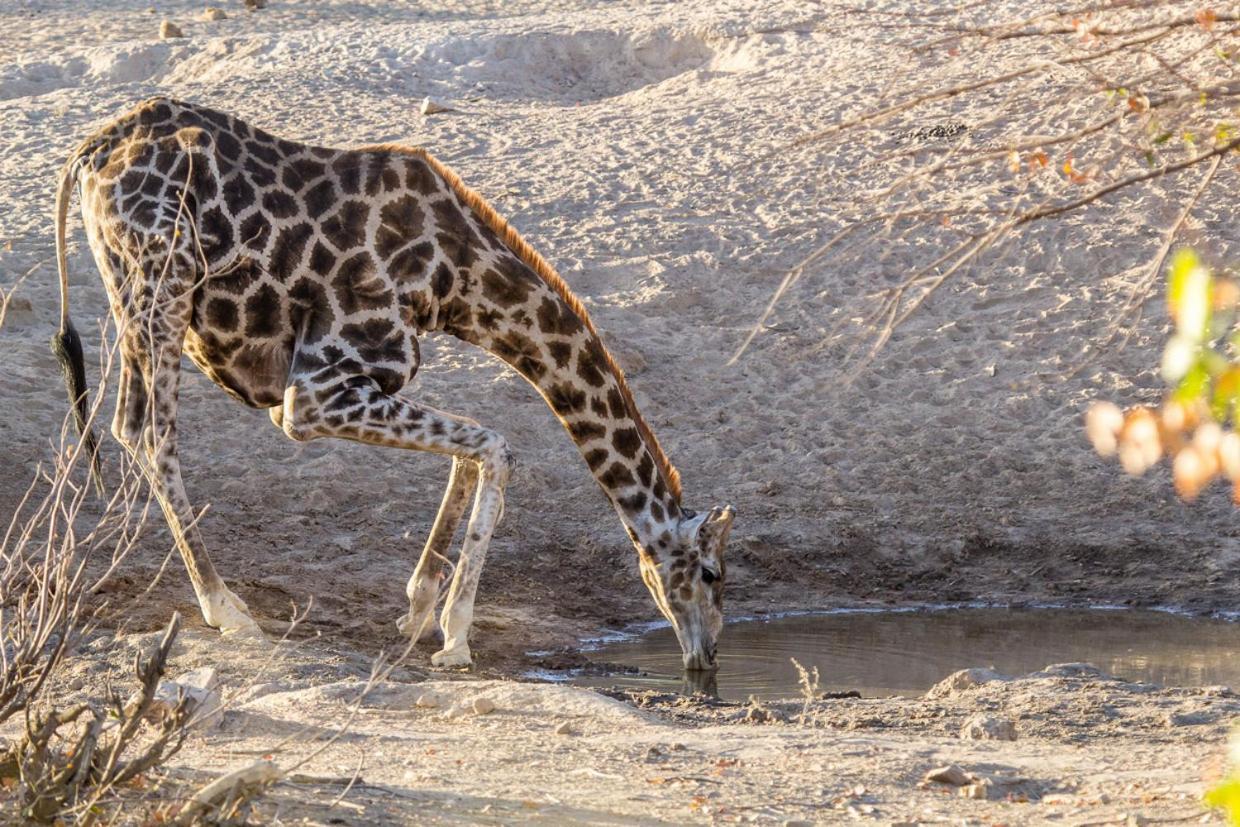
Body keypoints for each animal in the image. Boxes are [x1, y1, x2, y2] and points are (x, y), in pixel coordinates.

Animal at [53, 95, 734, 674]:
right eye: (712, 574)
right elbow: (496, 445)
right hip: (164, 279)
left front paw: (420, 607)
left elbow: (474, 451)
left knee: (130, 424)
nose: (706, 658)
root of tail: (90, 150)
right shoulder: (315, 392)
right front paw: (456, 637)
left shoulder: (340, 387)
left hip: (134, 291)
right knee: (151, 430)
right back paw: (226, 607)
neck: (457, 281)